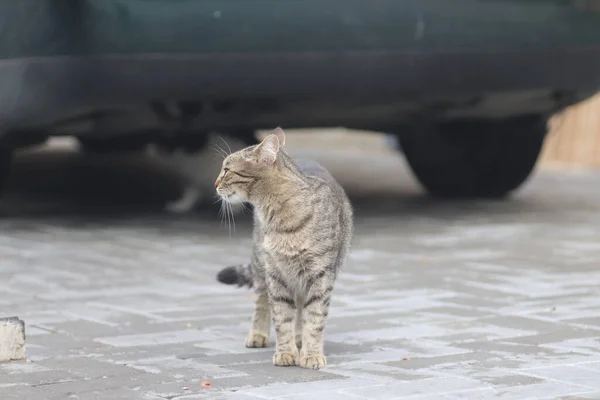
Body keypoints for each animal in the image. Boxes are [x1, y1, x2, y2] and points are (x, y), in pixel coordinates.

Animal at [214, 127, 352, 368]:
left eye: (227, 170)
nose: (215, 183)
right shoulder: (276, 275)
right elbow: (281, 317)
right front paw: (286, 353)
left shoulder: (321, 274)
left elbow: (314, 317)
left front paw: (311, 353)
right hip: (261, 264)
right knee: (262, 299)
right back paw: (258, 334)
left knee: (301, 307)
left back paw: (299, 338)